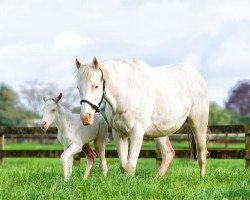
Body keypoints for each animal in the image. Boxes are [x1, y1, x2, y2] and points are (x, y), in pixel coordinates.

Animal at [75, 57, 208, 178]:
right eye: (78, 87)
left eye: (96, 86)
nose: (85, 117)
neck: (127, 94)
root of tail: (197, 76)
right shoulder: (118, 134)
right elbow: (123, 165)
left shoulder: (137, 133)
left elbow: (130, 167)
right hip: (160, 132)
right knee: (168, 153)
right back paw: (156, 179)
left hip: (198, 125)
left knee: (202, 153)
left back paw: (201, 180)